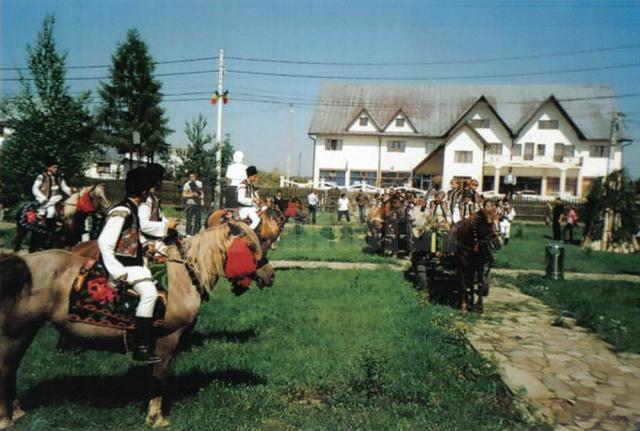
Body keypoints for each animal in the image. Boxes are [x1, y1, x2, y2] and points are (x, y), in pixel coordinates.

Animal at [0, 221, 272, 430]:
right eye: (250, 246)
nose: (270, 274)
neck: (183, 277)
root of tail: (23, 263)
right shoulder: (167, 341)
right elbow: (159, 378)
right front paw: (156, 418)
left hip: (26, 331)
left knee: (12, 369)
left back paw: (17, 411)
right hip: (16, 332)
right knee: (6, 369)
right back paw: (6, 419)